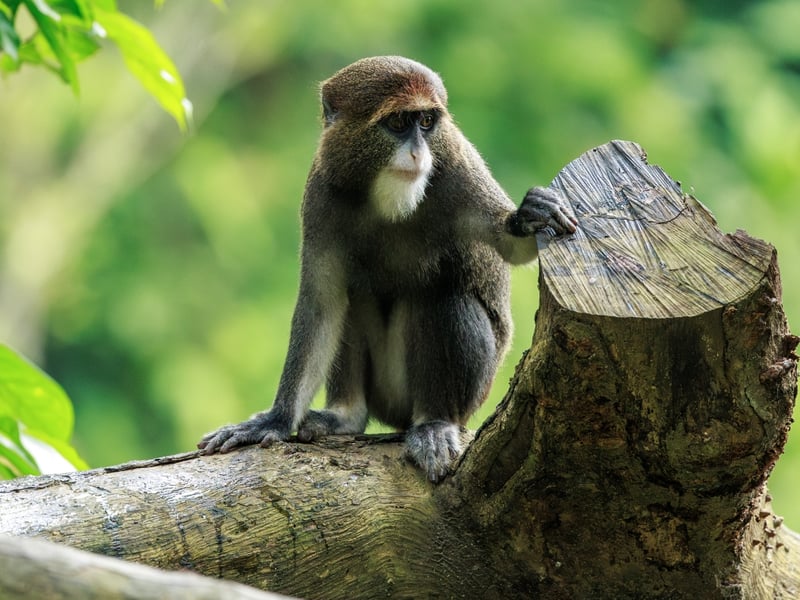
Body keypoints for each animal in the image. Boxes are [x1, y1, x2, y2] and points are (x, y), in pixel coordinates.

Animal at [198, 56, 577, 482]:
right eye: (398, 123)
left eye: (426, 122)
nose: (418, 153)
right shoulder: (321, 195)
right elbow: (322, 306)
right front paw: (275, 421)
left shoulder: (459, 169)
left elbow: (511, 246)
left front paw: (530, 215)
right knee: (354, 298)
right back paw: (346, 415)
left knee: (445, 294)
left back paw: (434, 423)